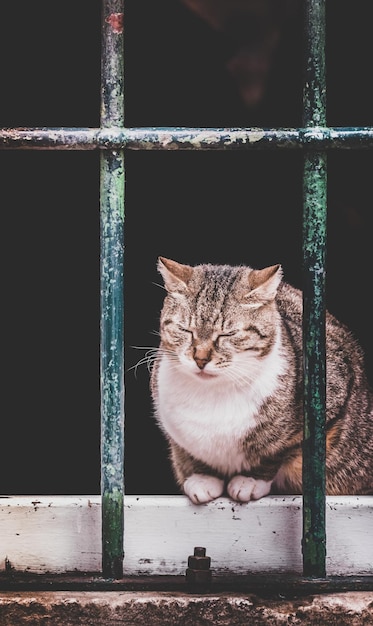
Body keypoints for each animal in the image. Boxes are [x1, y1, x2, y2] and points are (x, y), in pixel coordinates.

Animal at [149, 254, 372, 502]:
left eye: (228, 334)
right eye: (185, 330)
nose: (200, 358)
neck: (213, 391)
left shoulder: (330, 400)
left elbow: (276, 452)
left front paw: (251, 480)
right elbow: (189, 450)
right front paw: (202, 477)